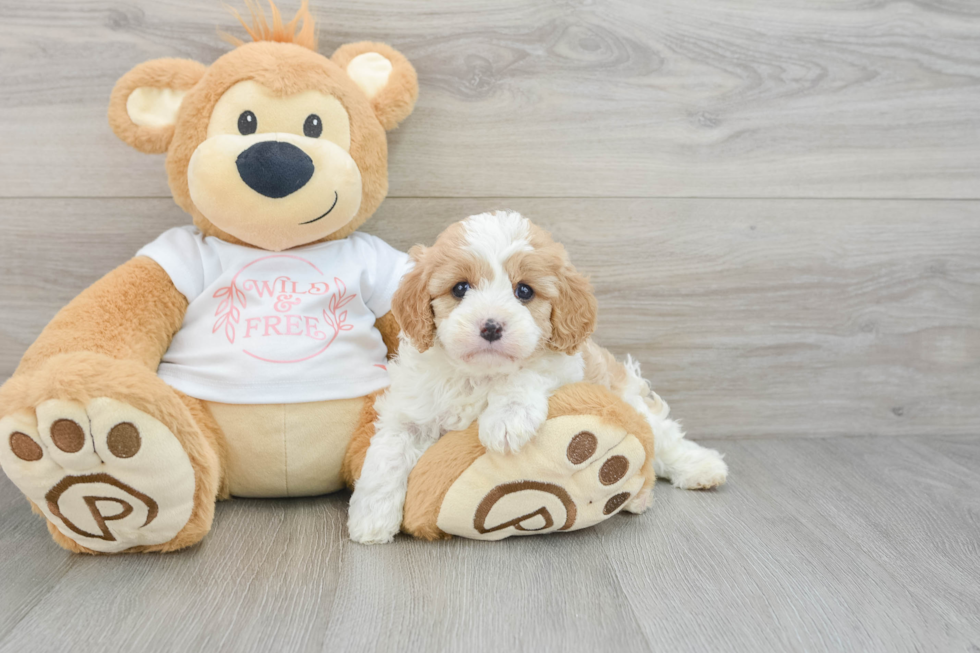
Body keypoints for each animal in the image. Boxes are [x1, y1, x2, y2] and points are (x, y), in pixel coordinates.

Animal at [348, 211, 724, 544]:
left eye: (524, 292)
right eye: (460, 288)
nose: (491, 326)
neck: (479, 376)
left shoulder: (565, 366)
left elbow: (527, 373)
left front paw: (505, 420)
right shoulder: (408, 411)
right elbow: (386, 456)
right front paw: (371, 519)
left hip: (628, 395)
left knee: (663, 437)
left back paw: (700, 469)